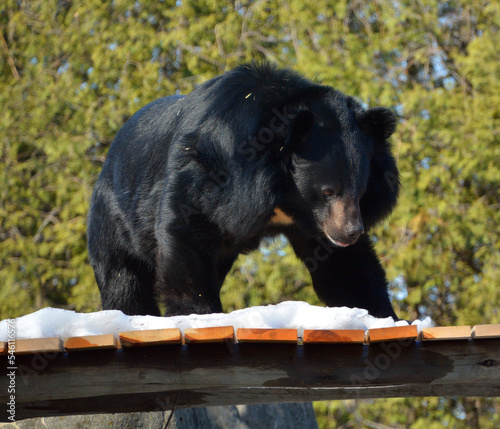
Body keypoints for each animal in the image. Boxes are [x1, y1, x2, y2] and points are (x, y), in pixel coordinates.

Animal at [86, 62, 398, 318]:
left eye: (360, 191)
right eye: (328, 191)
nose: (350, 232)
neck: (284, 196)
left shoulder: (315, 222)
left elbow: (344, 267)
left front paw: (382, 314)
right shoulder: (209, 170)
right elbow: (185, 226)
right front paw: (198, 311)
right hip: (113, 217)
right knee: (123, 277)